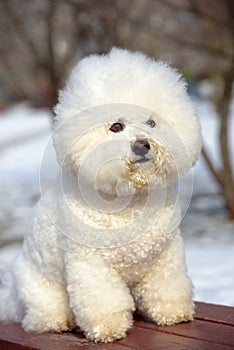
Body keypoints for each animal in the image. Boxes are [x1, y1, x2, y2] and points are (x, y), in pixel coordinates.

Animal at [0, 48, 201, 342]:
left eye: (152, 122)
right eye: (116, 127)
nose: (143, 144)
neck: (131, 198)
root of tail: (12, 299)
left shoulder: (165, 254)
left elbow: (167, 285)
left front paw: (173, 312)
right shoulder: (91, 263)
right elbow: (103, 300)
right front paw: (108, 328)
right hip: (40, 288)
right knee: (39, 317)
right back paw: (59, 322)